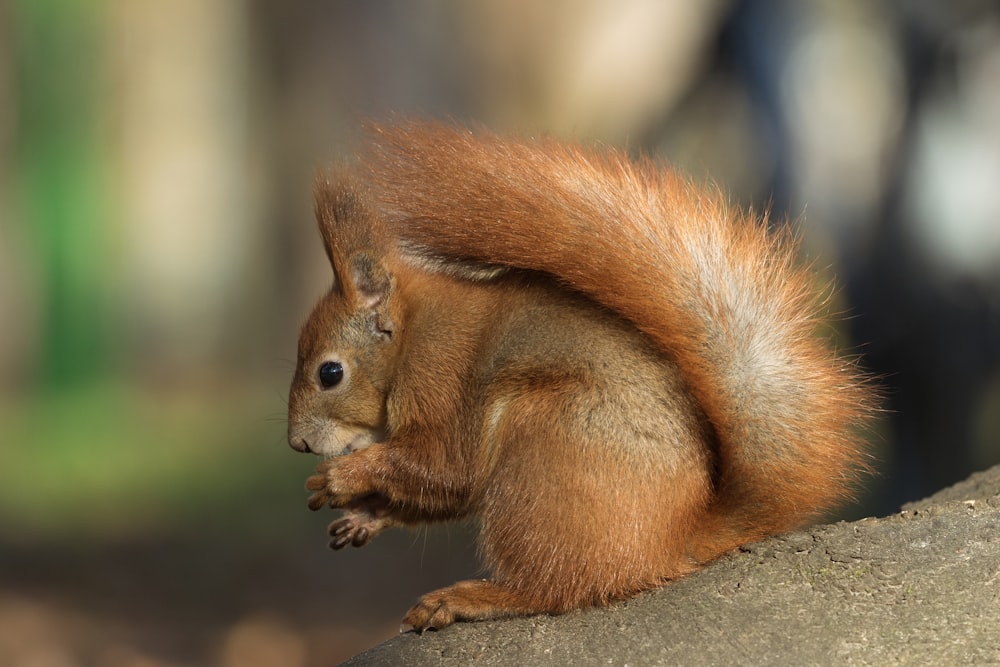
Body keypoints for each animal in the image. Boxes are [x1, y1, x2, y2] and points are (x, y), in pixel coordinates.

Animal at [286, 121, 872, 632]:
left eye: (330, 373)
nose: (296, 444)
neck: (410, 336)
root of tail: (669, 540)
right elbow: (441, 493)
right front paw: (362, 514)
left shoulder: (440, 378)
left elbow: (443, 467)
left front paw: (341, 477)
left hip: (543, 451)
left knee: (554, 589)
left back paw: (472, 597)